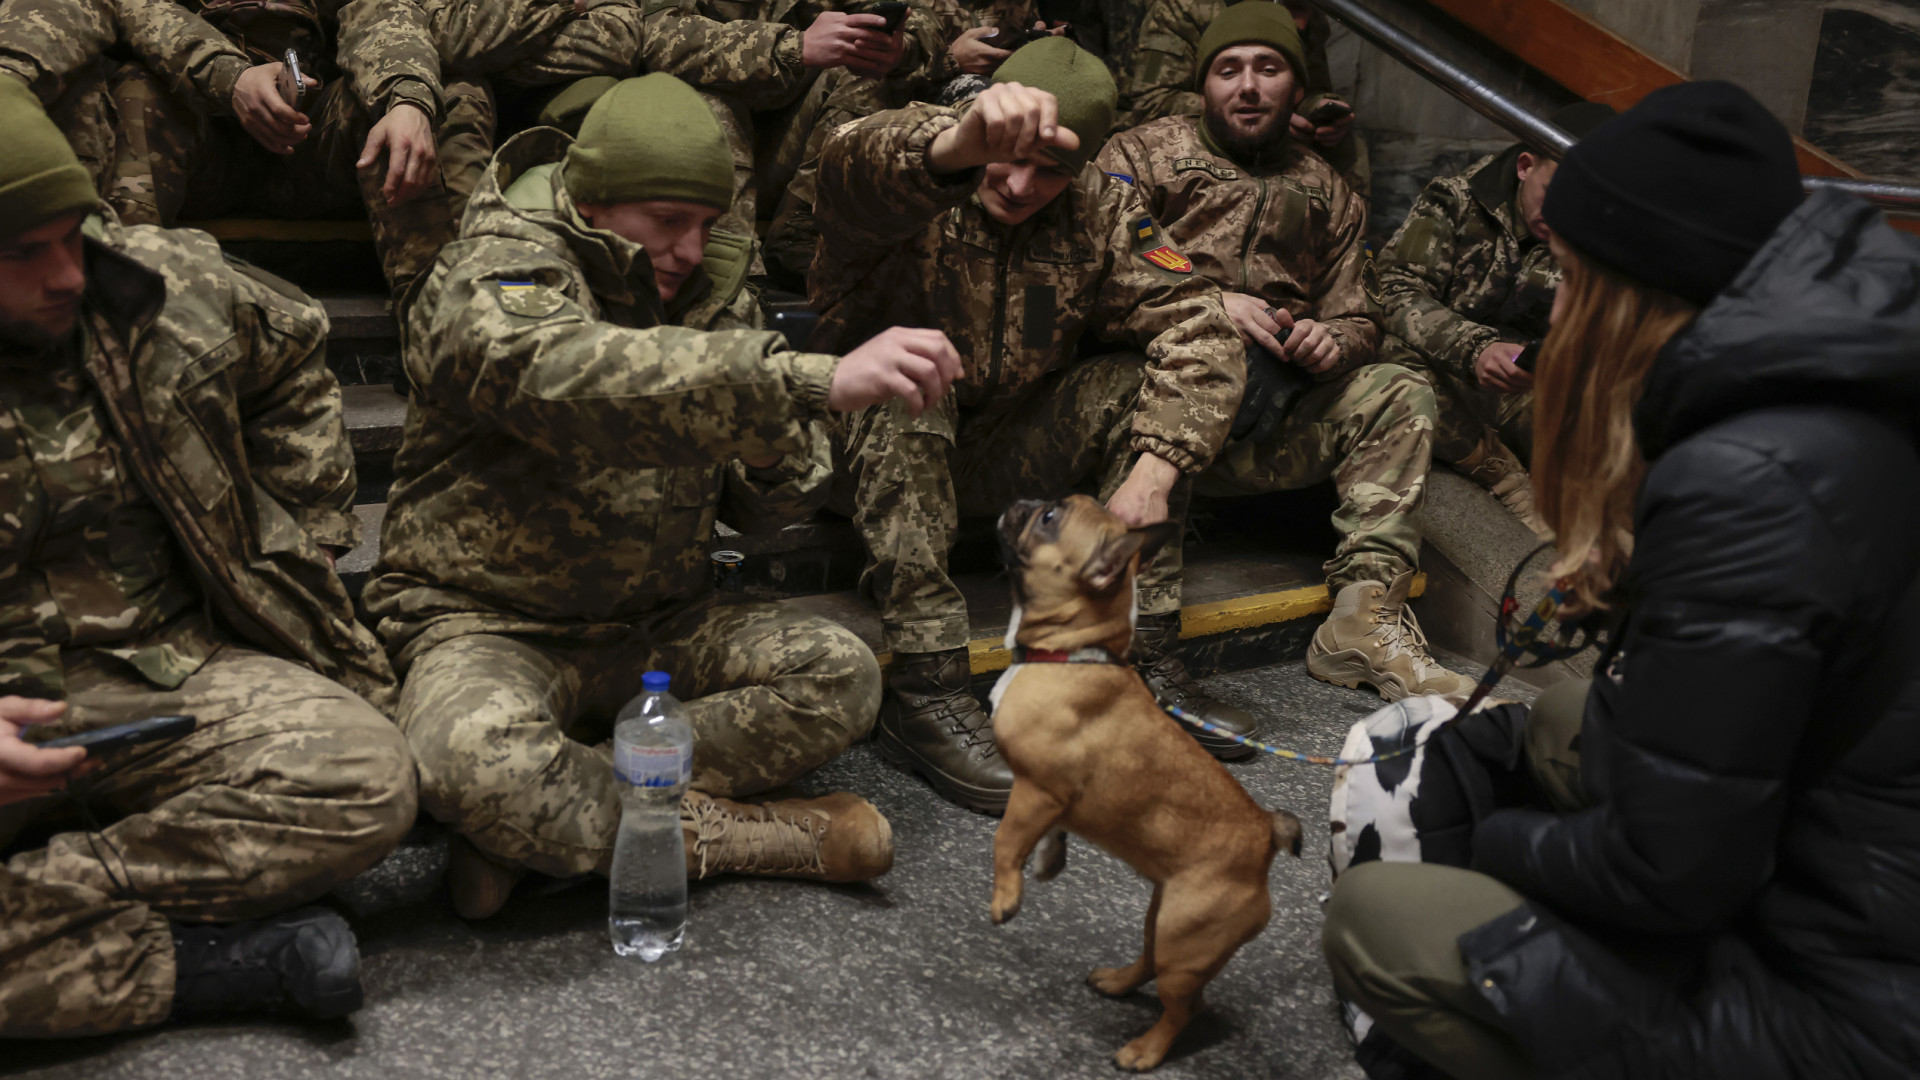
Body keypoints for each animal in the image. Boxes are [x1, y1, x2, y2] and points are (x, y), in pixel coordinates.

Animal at [990, 495, 1305, 1068]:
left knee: (1181, 1005)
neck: (1073, 651)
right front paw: (1048, 860)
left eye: (1049, 520)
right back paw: (1117, 982)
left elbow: (1006, 839)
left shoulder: (1036, 788)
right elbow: (1045, 833)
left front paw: (1006, 896)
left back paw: (1144, 1050)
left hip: (1187, 940)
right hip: (1163, 918)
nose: (1025, 500)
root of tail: (1265, 832)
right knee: (1150, 959)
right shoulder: (1051, 798)